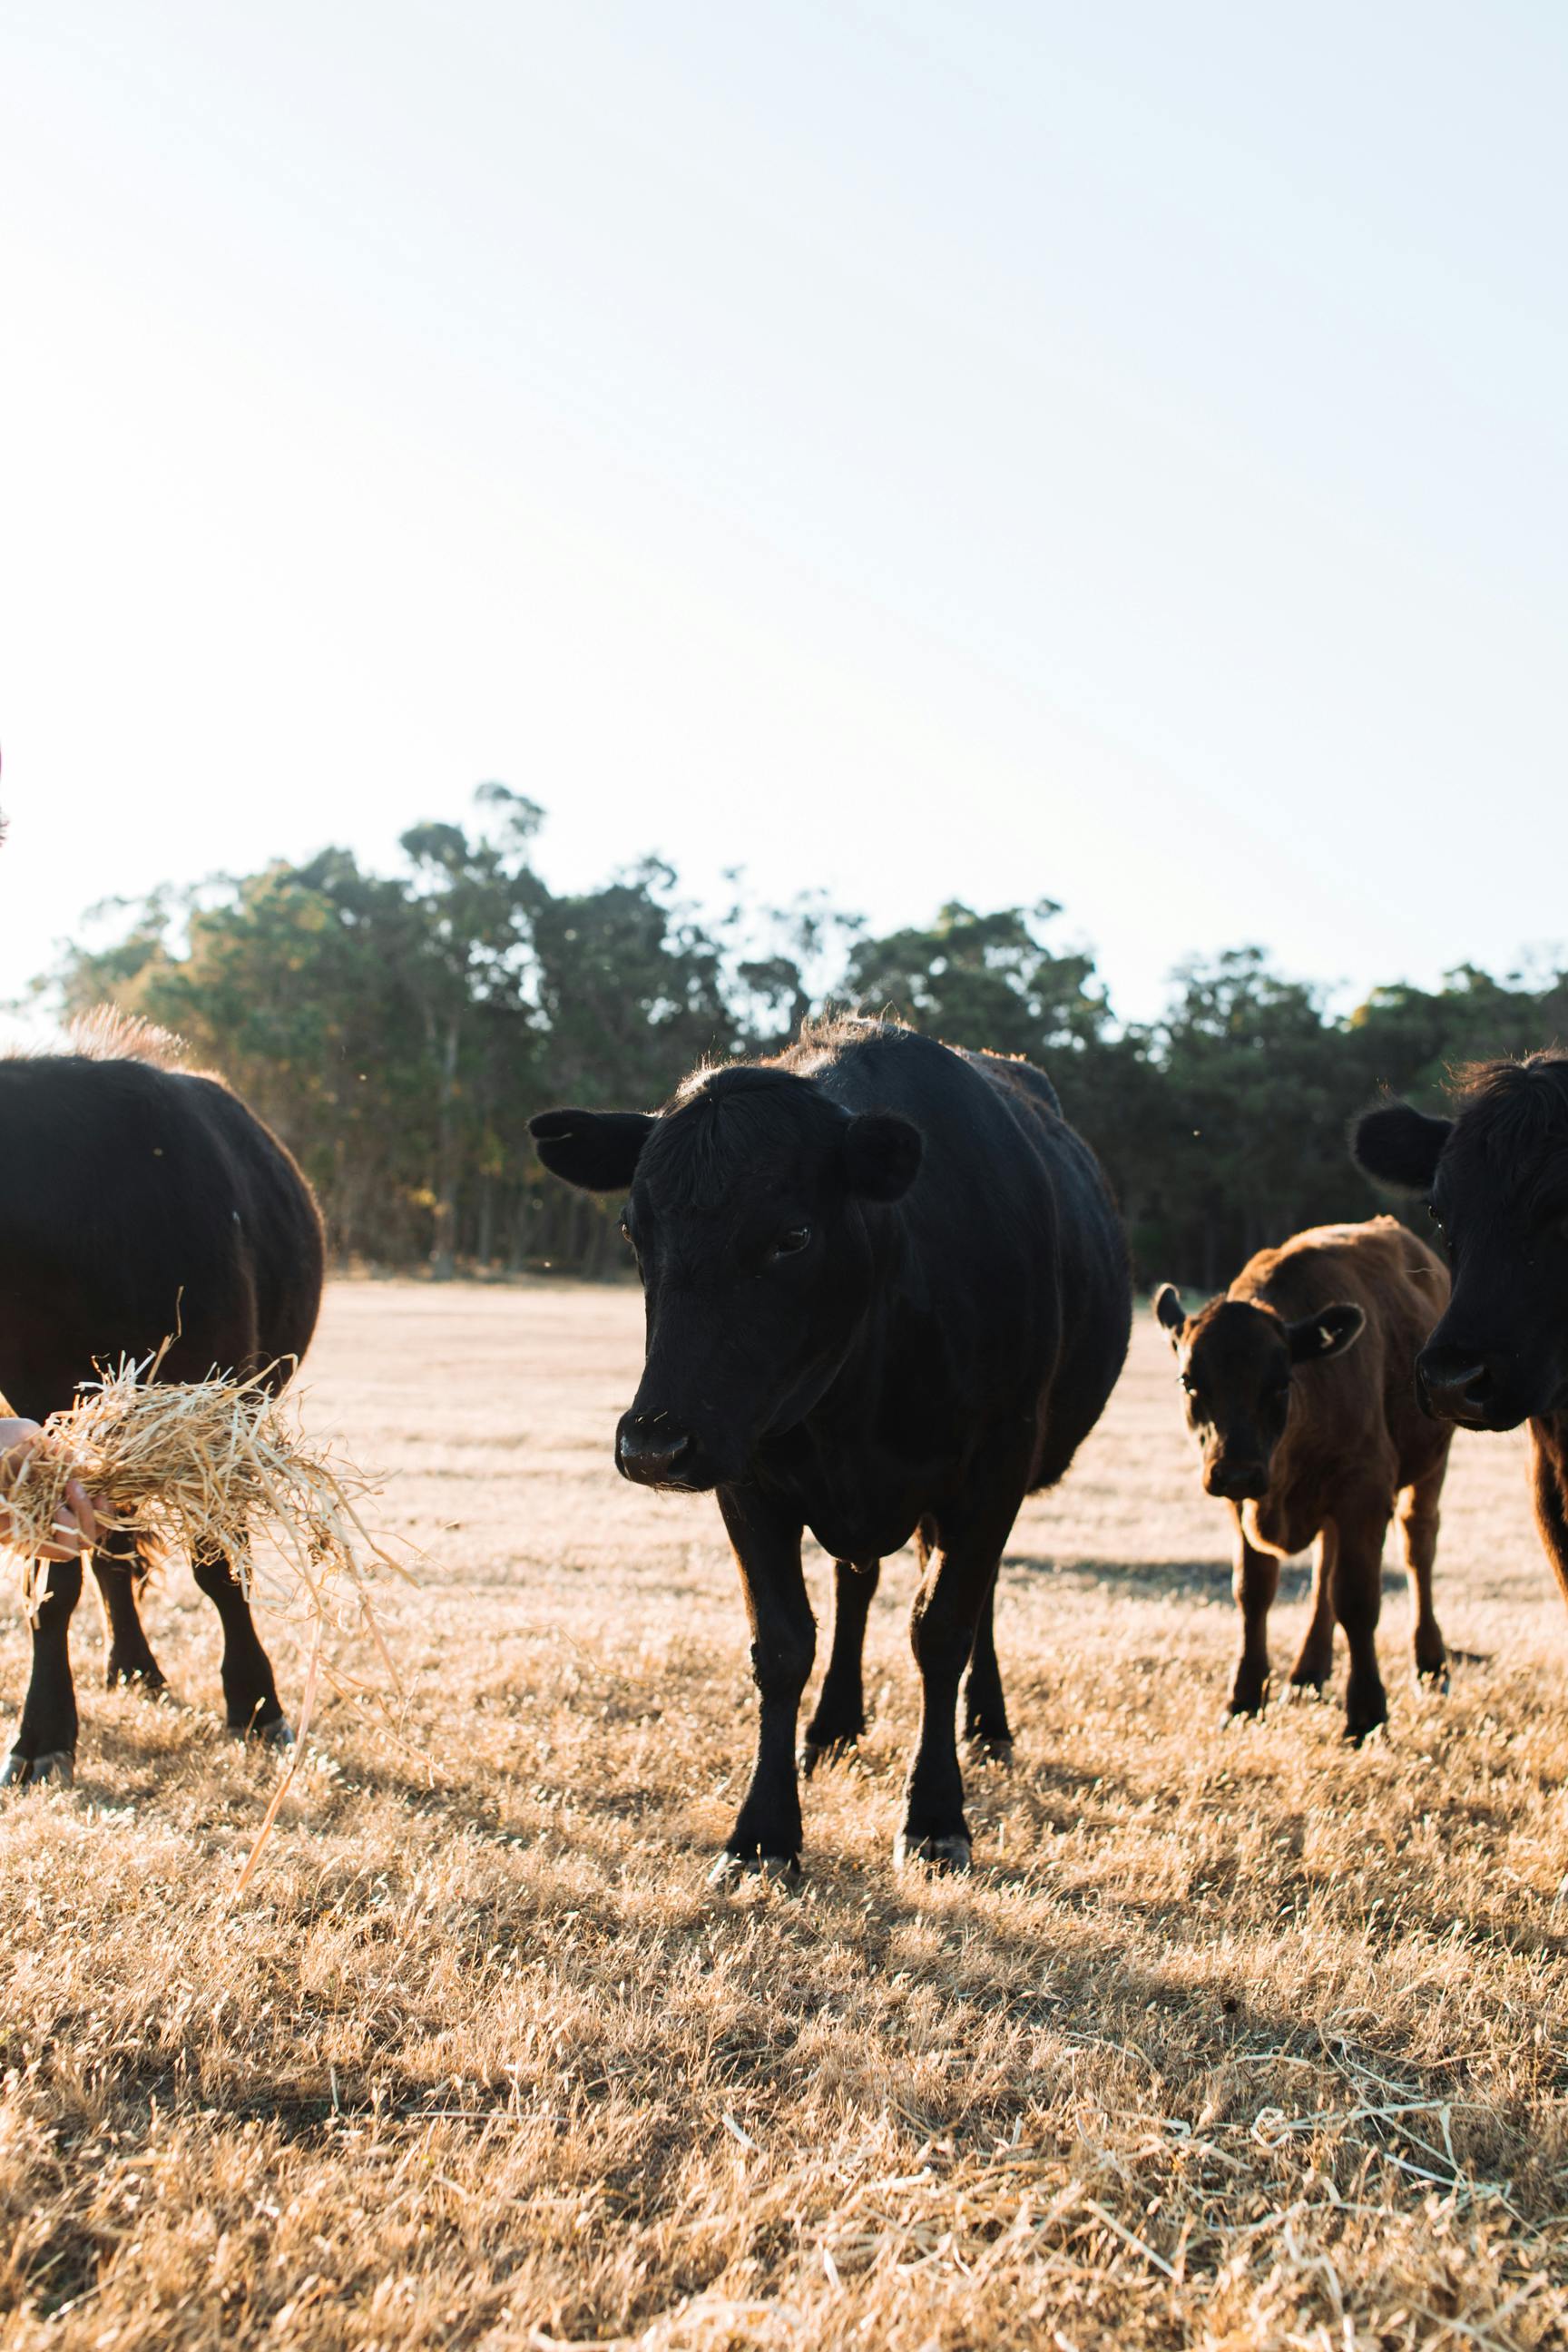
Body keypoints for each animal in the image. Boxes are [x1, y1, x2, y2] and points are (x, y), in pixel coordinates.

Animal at [0, 1020, 324, 1787]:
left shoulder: (217, 1410)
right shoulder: (47, 1423)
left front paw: (256, 1702)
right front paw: (43, 1730)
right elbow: (55, 1583)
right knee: (113, 1556)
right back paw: (132, 1664)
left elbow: (219, 1563)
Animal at [534, 1011, 1132, 1872]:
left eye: (793, 1235)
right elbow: (783, 1644)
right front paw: (764, 1832)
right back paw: (835, 1725)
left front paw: (935, 1813)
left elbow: (941, 1629)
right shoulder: (745, 1472)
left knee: (969, 1597)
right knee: (858, 1584)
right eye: (632, 1229)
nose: (652, 1445)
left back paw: (986, 1724)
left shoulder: (996, 1461)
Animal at [1161, 1222, 1457, 1740]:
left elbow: (1357, 1599)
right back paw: (1307, 1673)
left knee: (1418, 1548)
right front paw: (1243, 1699)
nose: (1236, 1470)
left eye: (1281, 1383)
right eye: (1189, 1381)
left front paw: (1367, 1714)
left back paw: (1431, 1664)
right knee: (1324, 1571)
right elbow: (1253, 1592)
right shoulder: (1243, 1503)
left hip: (1429, 1468)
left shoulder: (1364, 1492)